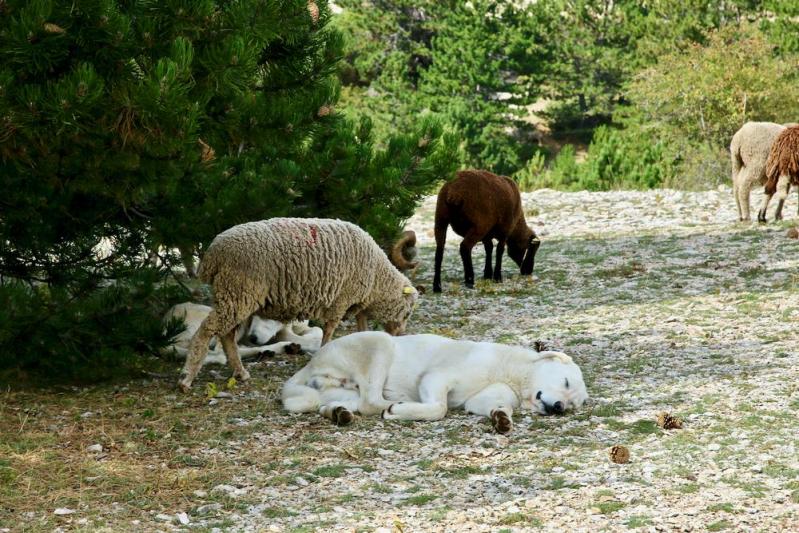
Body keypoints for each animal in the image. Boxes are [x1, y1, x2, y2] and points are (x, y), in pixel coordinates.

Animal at [179, 217, 418, 390]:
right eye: (407, 313)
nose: (401, 337)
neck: (377, 279)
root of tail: (213, 254)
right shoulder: (341, 300)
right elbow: (329, 331)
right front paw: (322, 354)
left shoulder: (356, 303)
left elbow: (361, 328)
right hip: (238, 291)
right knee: (207, 330)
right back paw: (186, 378)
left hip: (235, 296)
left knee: (227, 335)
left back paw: (241, 373)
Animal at [282, 332, 588, 432]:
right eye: (566, 382)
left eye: (574, 404)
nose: (560, 407)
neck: (511, 371)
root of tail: (311, 364)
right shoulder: (436, 378)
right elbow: (439, 407)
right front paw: (401, 411)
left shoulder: (484, 396)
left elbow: (495, 405)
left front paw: (501, 418)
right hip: (380, 342)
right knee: (370, 402)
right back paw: (393, 404)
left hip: (336, 393)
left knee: (334, 404)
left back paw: (338, 413)